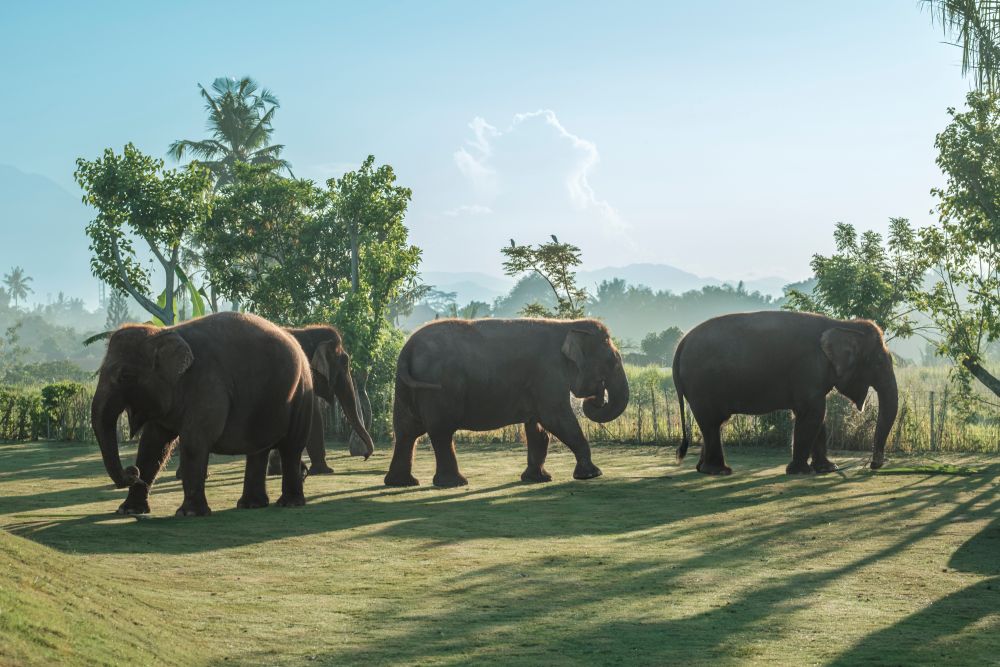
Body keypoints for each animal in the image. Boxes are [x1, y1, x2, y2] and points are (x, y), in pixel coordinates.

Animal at [92, 312, 316, 516]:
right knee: (258, 450)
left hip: (302, 395)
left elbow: (194, 441)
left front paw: (189, 513)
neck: (164, 332)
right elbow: (152, 444)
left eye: (125, 376)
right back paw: (251, 504)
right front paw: (128, 510)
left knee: (291, 447)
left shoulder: (208, 385)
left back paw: (289, 503)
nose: (132, 472)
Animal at [384, 318, 630, 488]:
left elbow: (538, 428)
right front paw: (591, 475)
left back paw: (402, 483)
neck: (568, 325)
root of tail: (407, 349)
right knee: (441, 432)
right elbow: (556, 419)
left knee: (406, 432)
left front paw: (537, 479)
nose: (596, 397)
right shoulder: (548, 374)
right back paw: (455, 483)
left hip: (404, 388)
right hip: (438, 389)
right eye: (611, 361)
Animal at [672, 311, 899, 475]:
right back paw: (720, 471)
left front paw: (827, 469)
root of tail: (681, 344)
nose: (875, 464)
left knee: (712, 424)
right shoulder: (808, 369)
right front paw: (800, 472)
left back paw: (704, 469)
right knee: (712, 422)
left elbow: (818, 416)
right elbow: (813, 413)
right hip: (702, 385)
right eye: (878, 362)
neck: (842, 324)